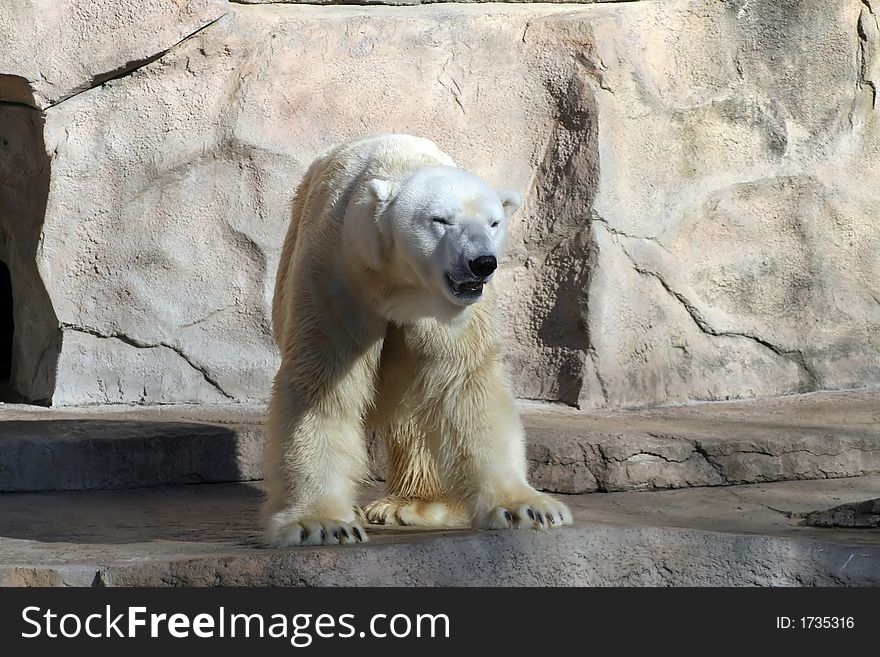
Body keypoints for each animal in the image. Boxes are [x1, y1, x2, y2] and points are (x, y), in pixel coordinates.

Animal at [264, 132, 576, 544]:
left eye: (494, 222)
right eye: (440, 220)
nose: (482, 263)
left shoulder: (452, 311)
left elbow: (466, 384)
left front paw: (528, 508)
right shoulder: (337, 271)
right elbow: (323, 383)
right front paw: (322, 525)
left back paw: (416, 506)